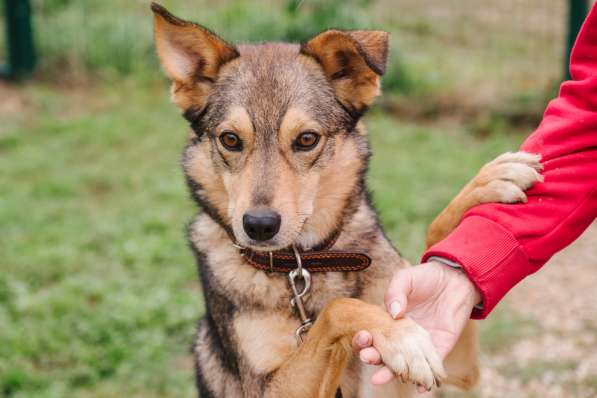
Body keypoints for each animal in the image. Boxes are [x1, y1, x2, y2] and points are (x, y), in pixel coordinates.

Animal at [150, 3, 544, 398]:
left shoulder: (459, 367)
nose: (259, 226)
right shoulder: (267, 388)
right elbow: (339, 309)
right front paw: (401, 338)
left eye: (307, 139)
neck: (304, 265)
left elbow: (435, 237)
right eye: (230, 139)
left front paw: (489, 181)